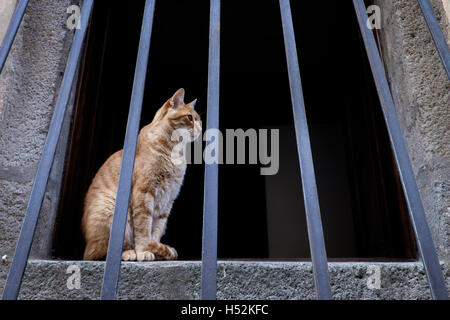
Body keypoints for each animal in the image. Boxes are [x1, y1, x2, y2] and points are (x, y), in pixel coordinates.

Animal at [81, 89, 201, 262]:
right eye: (190, 118)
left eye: (200, 121)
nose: (200, 130)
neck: (175, 153)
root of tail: (86, 246)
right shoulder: (144, 193)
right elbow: (144, 227)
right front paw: (144, 250)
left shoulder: (167, 200)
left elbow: (156, 229)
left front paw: (156, 249)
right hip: (110, 209)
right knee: (103, 252)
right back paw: (129, 253)